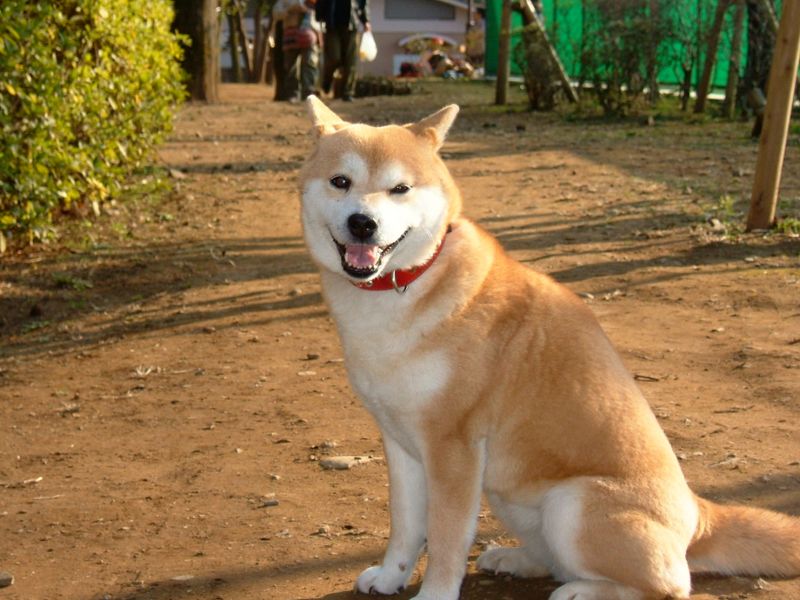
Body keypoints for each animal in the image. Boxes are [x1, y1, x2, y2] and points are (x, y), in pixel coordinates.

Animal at [298, 96, 800, 600]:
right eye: (341, 181)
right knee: (555, 560)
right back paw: (516, 560)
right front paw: (390, 576)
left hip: (572, 503)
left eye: (400, 188)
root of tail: (698, 514)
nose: (363, 223)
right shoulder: (401, 442)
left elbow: (444, 539)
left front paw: (435, 593)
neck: (410, 284)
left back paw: (582, 589)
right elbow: (404, 526)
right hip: (510, 497)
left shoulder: (453, 448)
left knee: (671, 584)